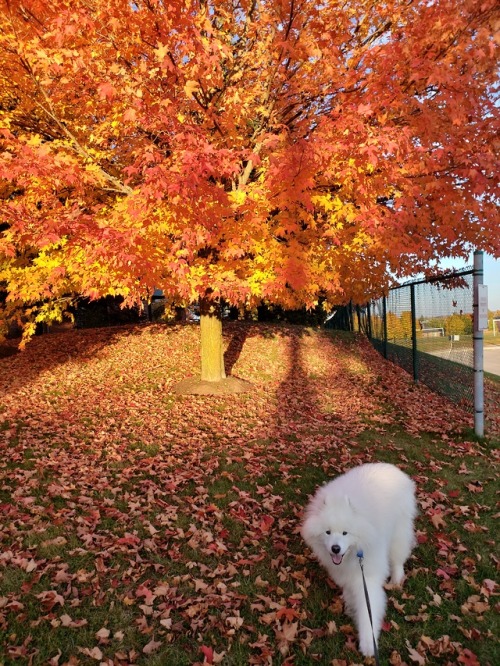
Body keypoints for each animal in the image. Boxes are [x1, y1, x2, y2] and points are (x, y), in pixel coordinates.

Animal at [300, 462, 418, 652]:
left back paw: (396, 578)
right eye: (327, 532)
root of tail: (393, 468)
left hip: (399, 531)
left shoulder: (368, 575)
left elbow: (368, 609)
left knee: (398, 557)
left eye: (345, 533)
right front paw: (349, 604)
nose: (335, 548)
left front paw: (369, 643)